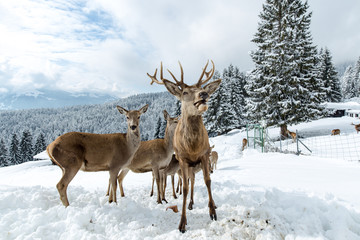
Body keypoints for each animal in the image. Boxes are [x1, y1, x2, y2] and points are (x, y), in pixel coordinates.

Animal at [147, 60, 221, 232]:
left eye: (202, 88)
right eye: (185, 92)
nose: (204, 94)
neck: (192, 147)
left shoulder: (204, 155)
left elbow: (208, 181)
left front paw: (212, 211)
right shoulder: (182, 159)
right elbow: (186, 188)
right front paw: (182, 223)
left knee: (195, 180)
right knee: (190, 182)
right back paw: (190, 204)